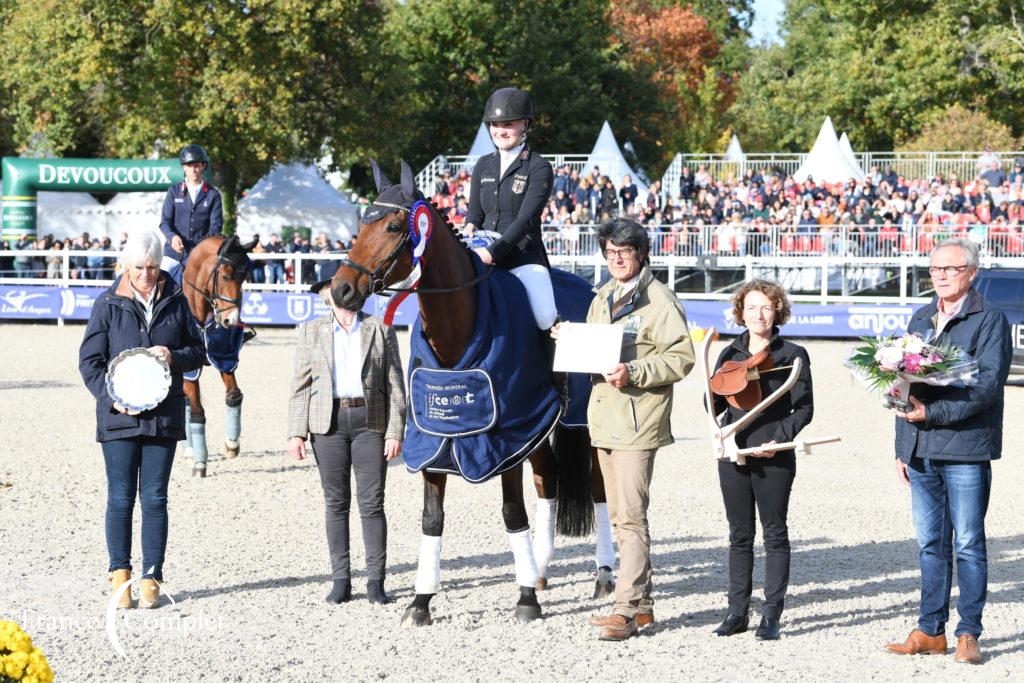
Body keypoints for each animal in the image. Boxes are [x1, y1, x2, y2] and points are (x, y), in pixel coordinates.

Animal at [181, 232, 258, 479]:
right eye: (225, 276)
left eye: (245, 278)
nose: (230, 321)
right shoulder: (188, 370)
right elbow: (197, 412)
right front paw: (200, 463)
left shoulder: (225, 357)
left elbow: (233, 396)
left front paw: (231, 444)